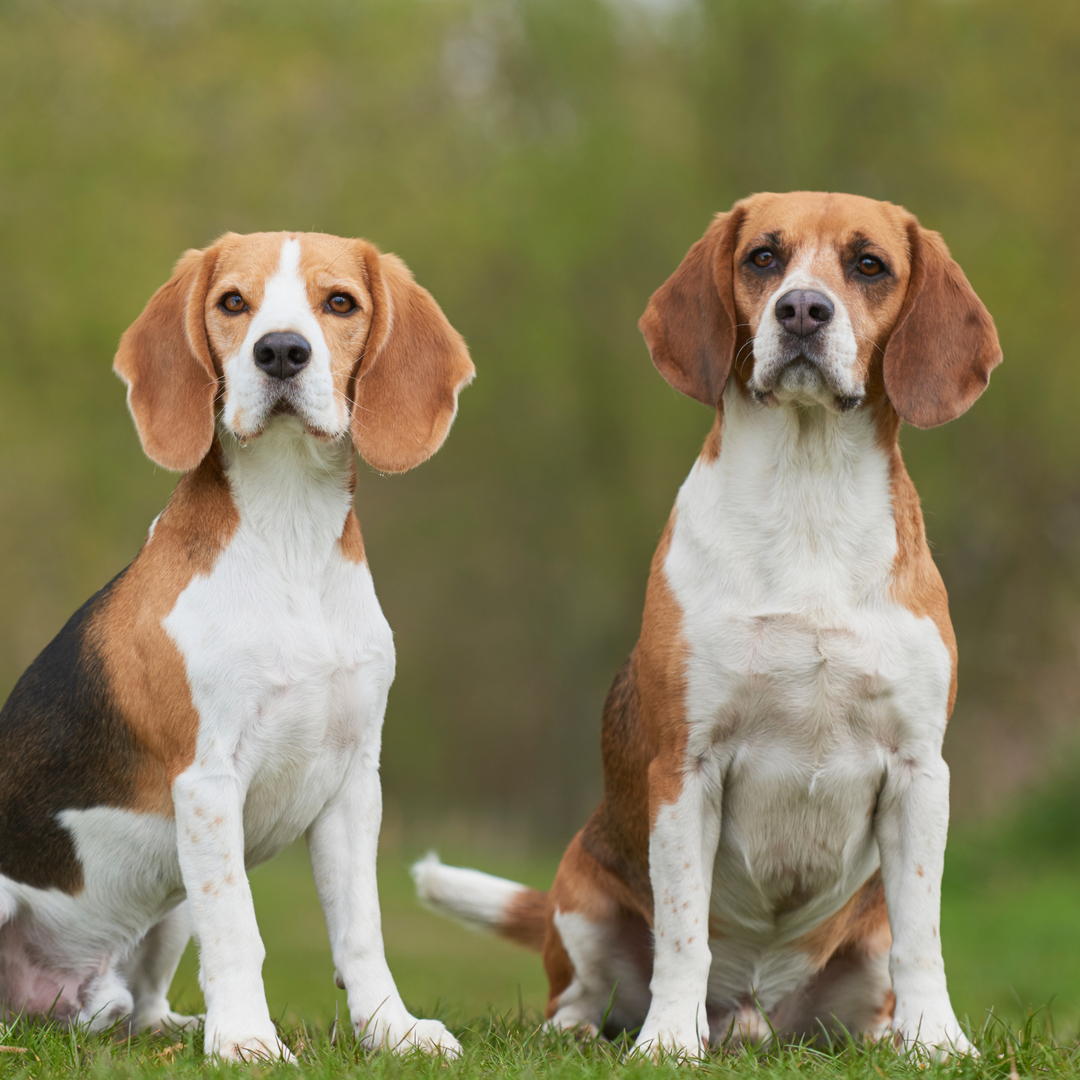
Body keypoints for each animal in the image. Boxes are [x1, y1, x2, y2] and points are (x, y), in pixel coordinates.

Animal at [0, 230, 473, 1062]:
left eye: (339, 301)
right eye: (232, 302)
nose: (280, 351)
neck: (288, 528)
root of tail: (51, 1001)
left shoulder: (353, 782)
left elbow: (361, 927)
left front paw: (392, 1029)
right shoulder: (207, 782)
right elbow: (238, 927)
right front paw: (249, 1041)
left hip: (166, 907)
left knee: (141, 1004)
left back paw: (170, 1025)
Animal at [414, 192, 1002, 1054]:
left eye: (869, 265)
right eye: (764, 257)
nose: (802, 309)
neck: (807, 496)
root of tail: (754, 1016)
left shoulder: (920, 773)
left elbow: (923, 935)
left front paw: (937, 1042)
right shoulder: (685, 768)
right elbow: (684, 930)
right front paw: (667, 1042)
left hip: (859, 956)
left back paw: (881, 1034)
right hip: (580, 901)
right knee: (578, 993)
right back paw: (592, 1031)